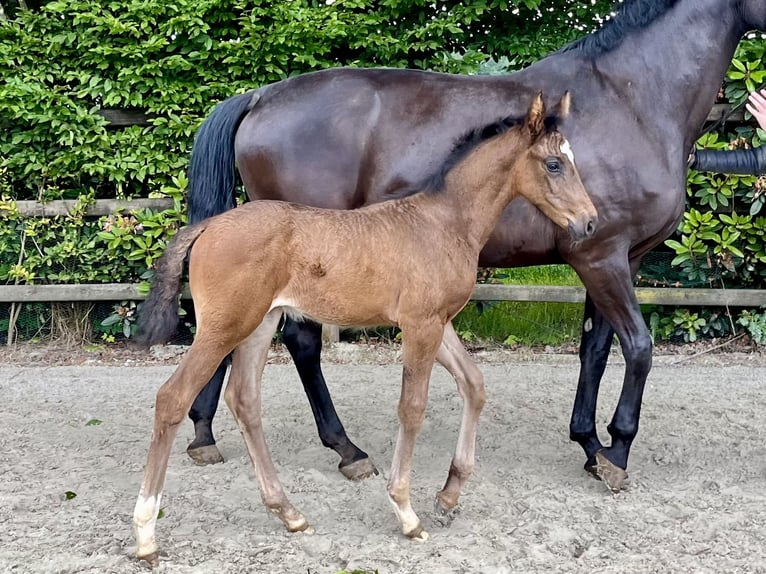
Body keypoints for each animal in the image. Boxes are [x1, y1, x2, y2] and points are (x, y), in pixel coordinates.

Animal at [132, 93, 600, 568]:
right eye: (554, 164)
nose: (589, 222)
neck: (444, 223)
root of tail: (209, 225)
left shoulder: (438, 322)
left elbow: (474, 384)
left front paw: (449, 495)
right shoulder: (420, 325)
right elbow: (412, 407)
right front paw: (407, 512)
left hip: (261, 323)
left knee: (244, 400)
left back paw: (289, 513)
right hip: (225, 326)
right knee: (172, 397)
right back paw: (146, 533)